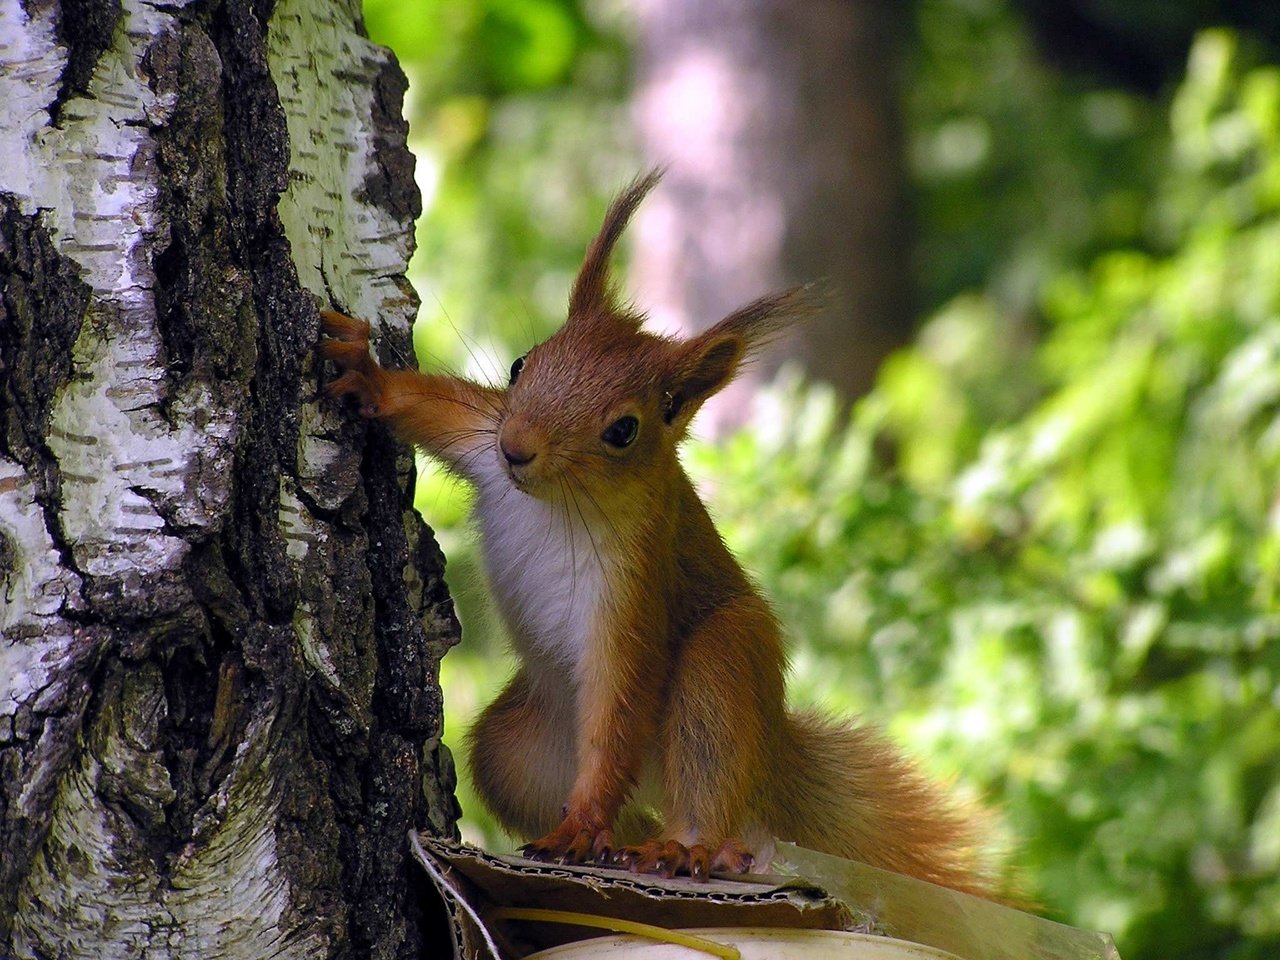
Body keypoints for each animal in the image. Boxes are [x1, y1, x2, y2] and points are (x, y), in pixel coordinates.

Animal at [322, 171, 998, 896]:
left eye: (624, 430)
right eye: (521, 365)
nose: (517, 449)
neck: (556, 502)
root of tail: (770, 757)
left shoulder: (637, 582)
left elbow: (620, 701)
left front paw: (582, 822)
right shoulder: (482, 440)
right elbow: (433, 407)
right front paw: (367, 375)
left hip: (722, 668)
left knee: (702, 773)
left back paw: (688, 847)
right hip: (517, 750)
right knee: (611, 806)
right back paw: (620, 846)